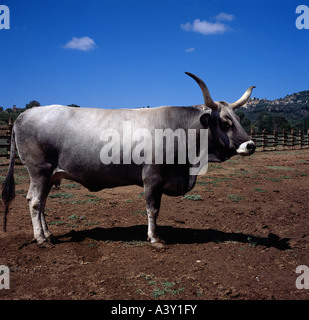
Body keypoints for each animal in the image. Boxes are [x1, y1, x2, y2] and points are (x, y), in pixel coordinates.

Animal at [1, 72, 255, 248]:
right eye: (225, 122)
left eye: (238, 119)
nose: (250, 145)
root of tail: (24, 114)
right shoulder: (152, 178)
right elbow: (153, 210)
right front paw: (155, 239)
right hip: (40, 171)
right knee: (35, 202)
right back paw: (41, 239)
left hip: (49, 175)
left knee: (41, 202)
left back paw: (48, 234)